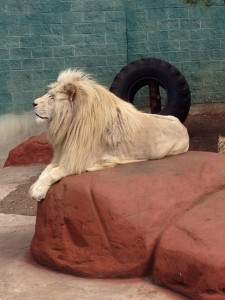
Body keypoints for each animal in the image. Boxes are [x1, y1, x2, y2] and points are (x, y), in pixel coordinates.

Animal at [29, 69, 189, 200]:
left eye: (51, 97)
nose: (33, 103)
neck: (69, 124)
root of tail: (184, 127)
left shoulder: (83, 160)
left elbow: (54, 172)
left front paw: (38, 192)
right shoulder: (65, 155)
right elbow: (46, 170)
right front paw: (35, 187)